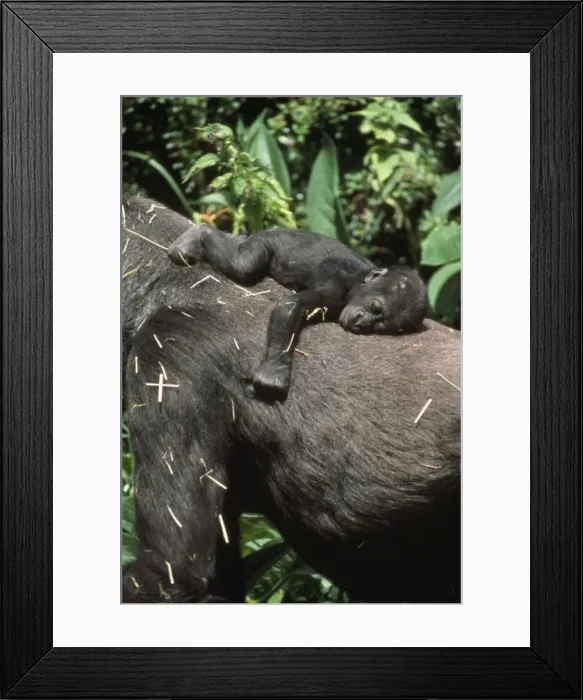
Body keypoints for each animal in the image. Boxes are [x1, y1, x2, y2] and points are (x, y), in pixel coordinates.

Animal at [167, 224, 428, 400]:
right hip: (264, 242)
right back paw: (197, 235)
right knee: (242, 265)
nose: (363, 323)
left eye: (382, 325)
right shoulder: (334, 290)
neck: (360, 281)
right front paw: (274, 372)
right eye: (375, 307)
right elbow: (291, 306)